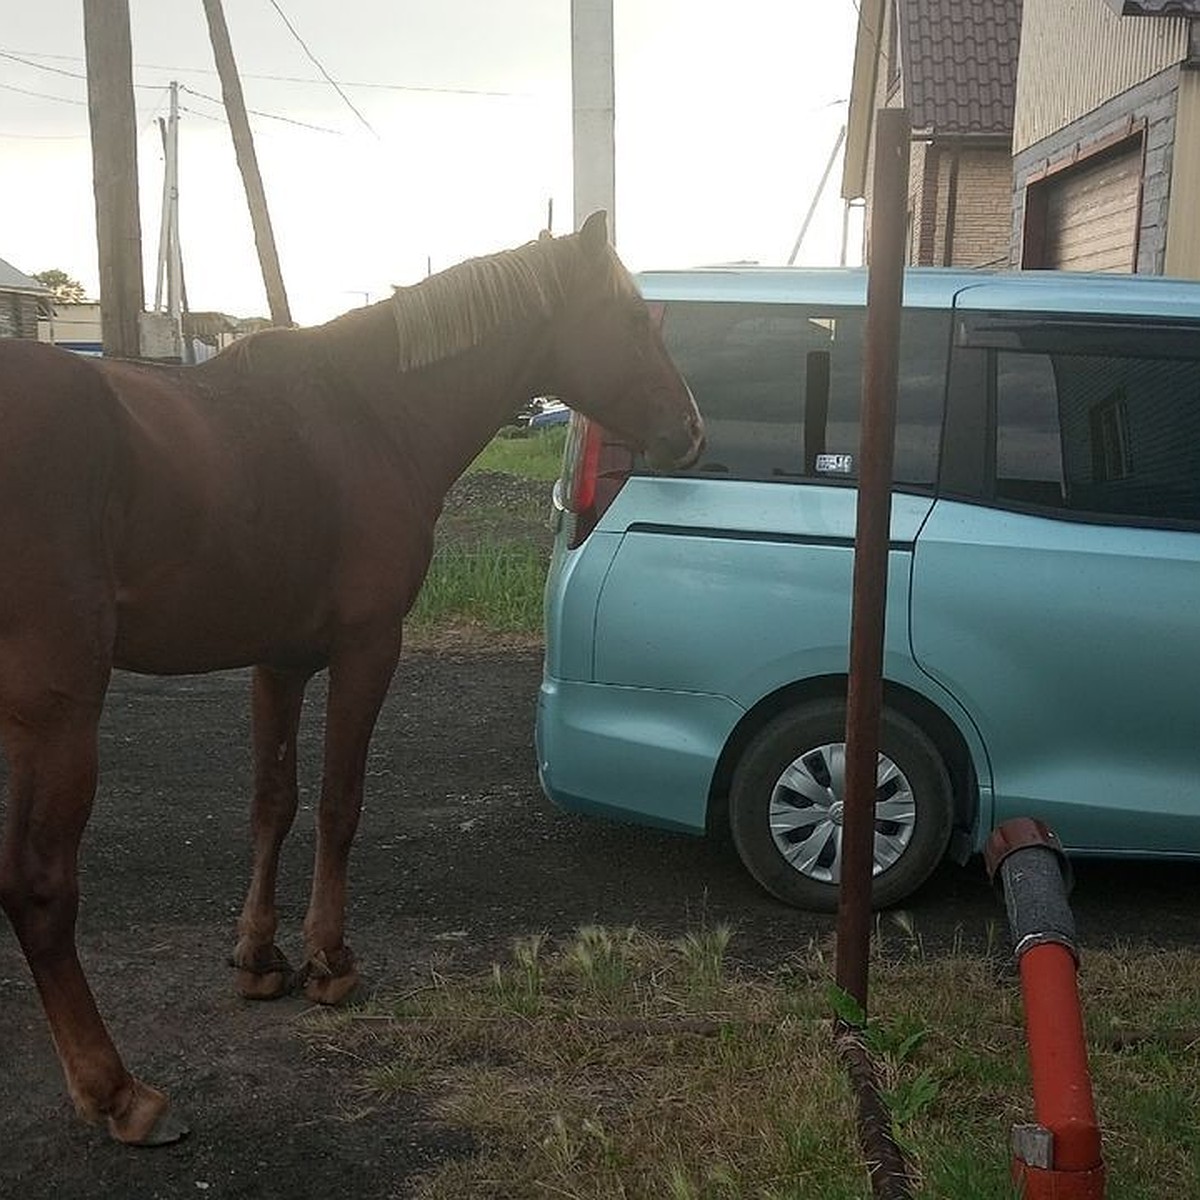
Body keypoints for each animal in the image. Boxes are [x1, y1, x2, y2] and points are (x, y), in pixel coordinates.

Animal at [0, 213, 700, 1142]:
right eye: (628, 319)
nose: (691, 432)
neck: (369, 412)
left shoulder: (280, 660)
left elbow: (274, 802)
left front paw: (260, 956)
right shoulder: (369, 649)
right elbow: (339, 802)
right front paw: (331, 961)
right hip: (58, 714)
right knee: (39, 887)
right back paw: (117, 1090)